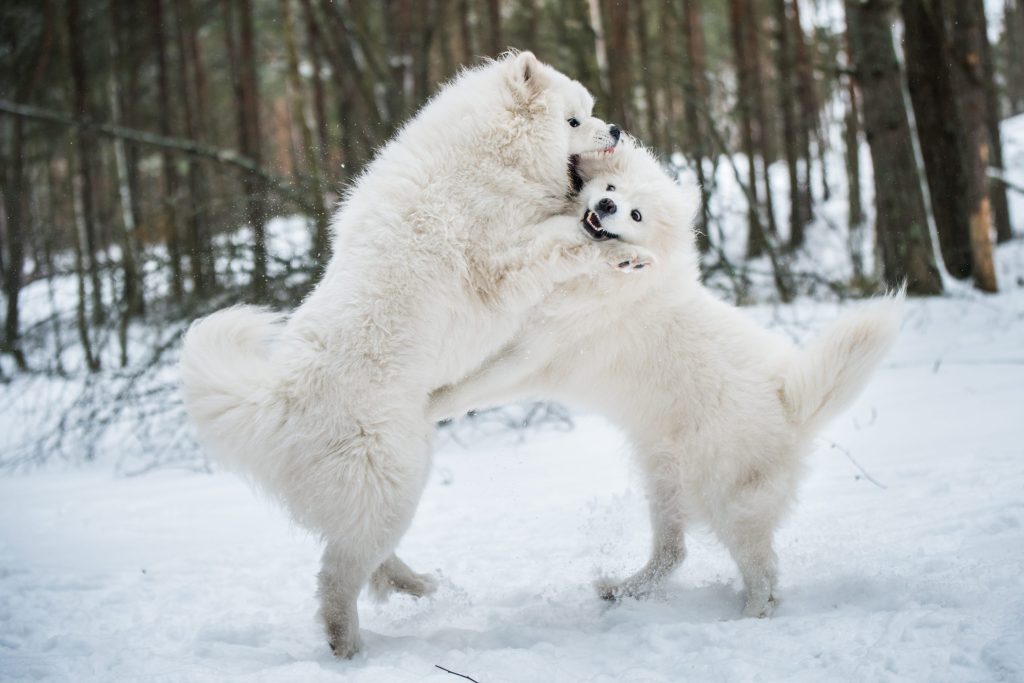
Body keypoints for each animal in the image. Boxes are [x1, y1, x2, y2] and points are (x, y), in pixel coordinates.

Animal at [179, 52, 651, 655]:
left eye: (590, 112)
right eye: (574, 120)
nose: (613, 129)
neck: (488, 166)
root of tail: (278, 404)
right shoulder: (501, 264)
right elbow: (561, 239)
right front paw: (608, 244)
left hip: (403, 476)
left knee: (366, 559)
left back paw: (421, 586)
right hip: (390, 483)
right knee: (337, 576)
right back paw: (349, 646)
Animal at [432, 139, 905, 618]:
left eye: (636, 215)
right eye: (612, 189)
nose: (606, 205)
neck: (611, 279)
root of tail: (790, 404)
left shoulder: (531, 358)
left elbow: (469, 389)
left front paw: (434, 405)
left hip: (726, 504)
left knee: (762, 575)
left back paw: (749, 615)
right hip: (665, 486)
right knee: (675, 553)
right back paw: (622, 590)